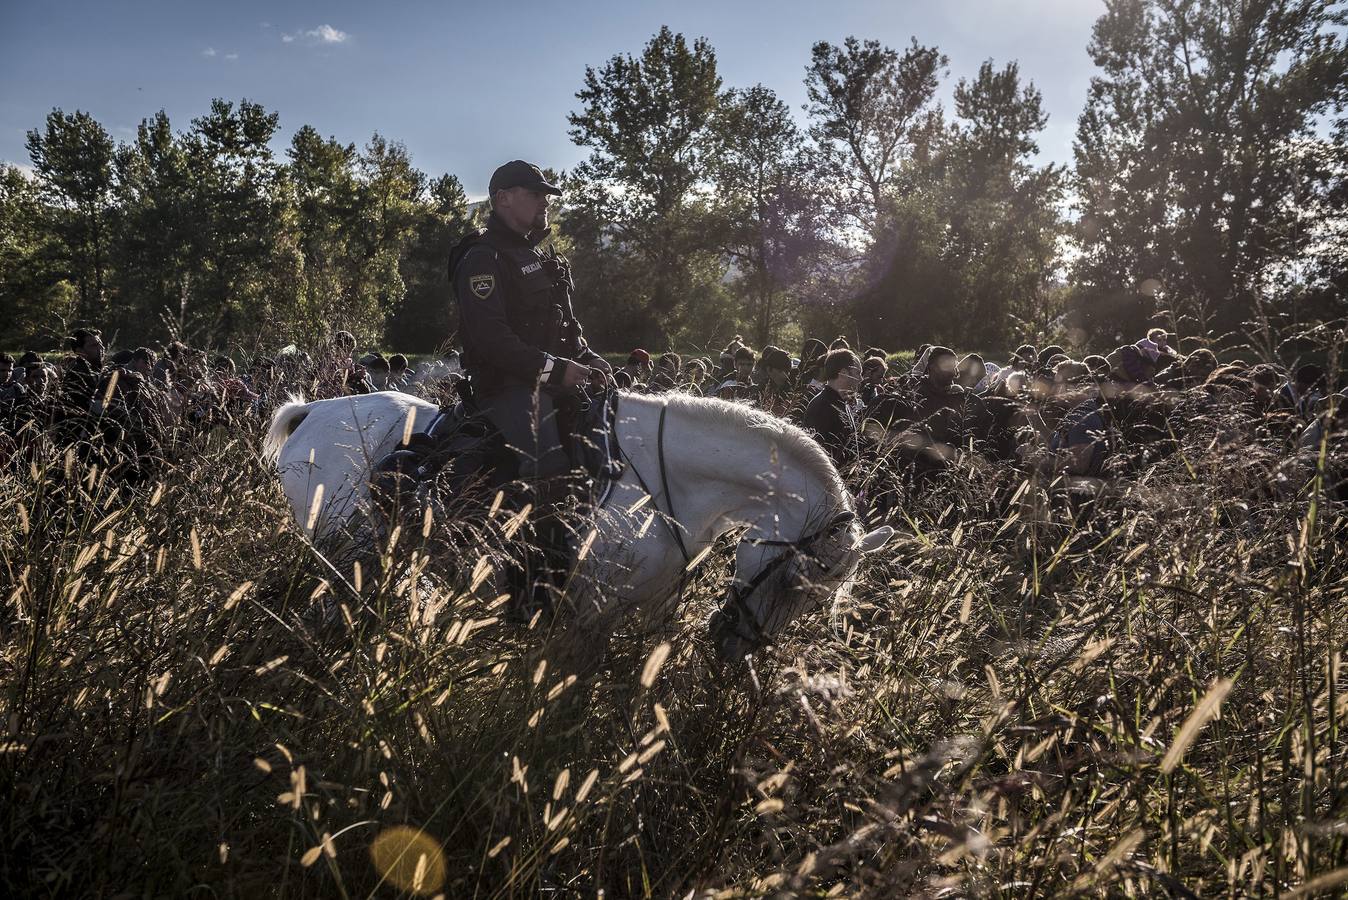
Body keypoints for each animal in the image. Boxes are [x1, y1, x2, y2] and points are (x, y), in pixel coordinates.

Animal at [262, 390, 895, 657]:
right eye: (794, 581)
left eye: (817, 602)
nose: (736, 651)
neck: (663, 484)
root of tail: (314, 411)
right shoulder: (589, 616)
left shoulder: (646, 613)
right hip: (338, 551)